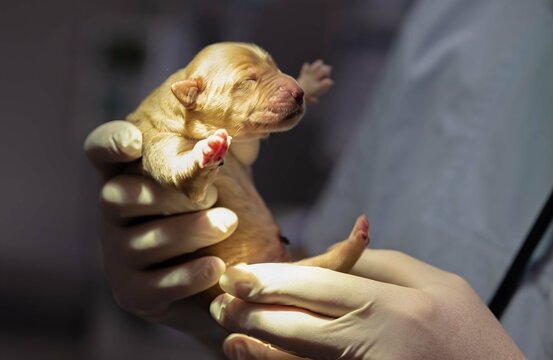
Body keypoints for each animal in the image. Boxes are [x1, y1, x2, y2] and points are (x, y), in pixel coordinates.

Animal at [125, 42, 366, 300]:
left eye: (275, 67)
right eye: (248, 80)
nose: (298, 92)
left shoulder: (243, 146)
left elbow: (251, 147)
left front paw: (311, 80)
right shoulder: (157, 143)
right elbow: (182, 175)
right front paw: (207, 151)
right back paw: (355, 240)